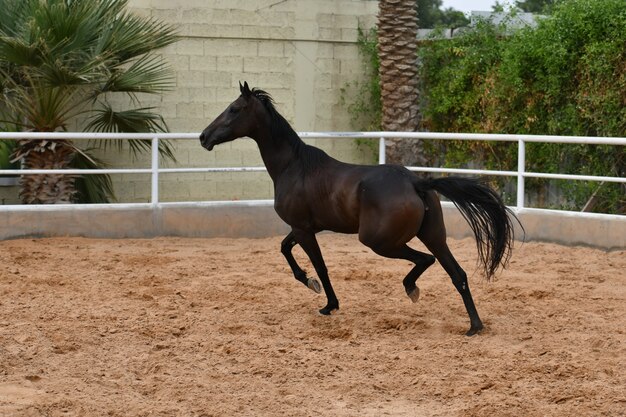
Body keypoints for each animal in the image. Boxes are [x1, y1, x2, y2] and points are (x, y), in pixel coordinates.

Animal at [200, 81, 516, 334]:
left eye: (234, 109)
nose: (204, 137)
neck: (294, 166)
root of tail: (415, 182)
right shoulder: (304, 227)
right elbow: (284, 248)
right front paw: (313, 286)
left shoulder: (303, 229)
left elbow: (319, 266)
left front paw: (327, 302)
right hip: (433, 235)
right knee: (457, 274)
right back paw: (474, 327)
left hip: (379, 241)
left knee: (425, 260)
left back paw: (412, 289)